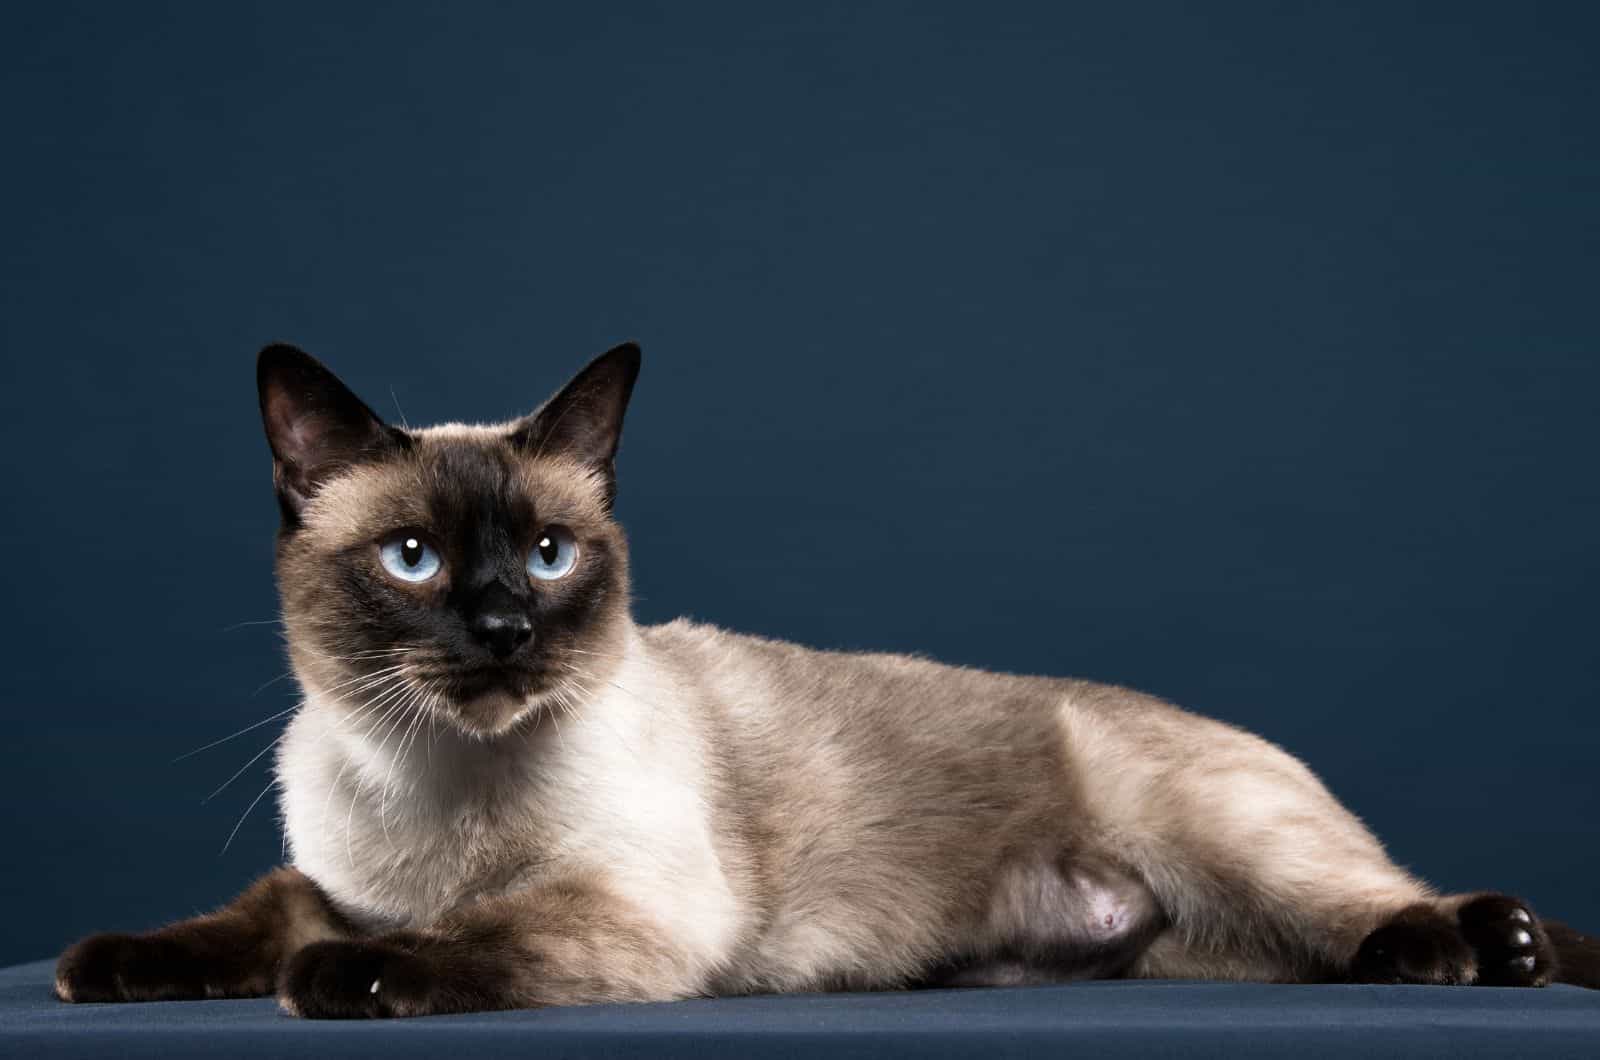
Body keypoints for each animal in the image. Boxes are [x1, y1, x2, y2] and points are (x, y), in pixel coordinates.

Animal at [53, 344, 1600, 1018]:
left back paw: (1492, 948)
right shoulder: (336, 877)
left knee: (1382, 908)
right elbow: (259, 914)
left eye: (549, 556)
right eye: (417, 560)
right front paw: (111, 968)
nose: (501, 631)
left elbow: (449, 940)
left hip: (1238, 844)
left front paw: (333, 983)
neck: (428, 782)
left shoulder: (627, 910)